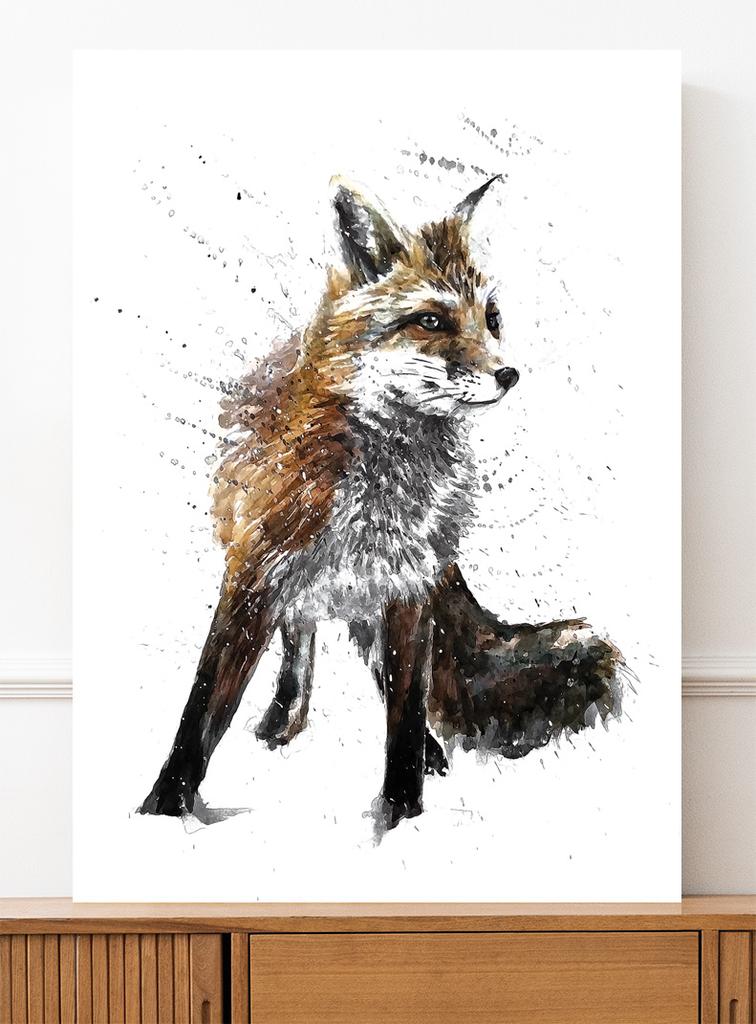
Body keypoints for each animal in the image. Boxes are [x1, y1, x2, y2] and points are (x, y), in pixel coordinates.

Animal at [139, 175, 624, 829]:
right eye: (431, 320)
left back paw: (421, 751)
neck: (380, 483)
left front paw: (402, 810)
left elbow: (405, 711)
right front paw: (165, 808)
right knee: (302, 635)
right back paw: (284, 719)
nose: (509, 374)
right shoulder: (254, 574)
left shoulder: (407, 586)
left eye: (492, 318)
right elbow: (203, 707)